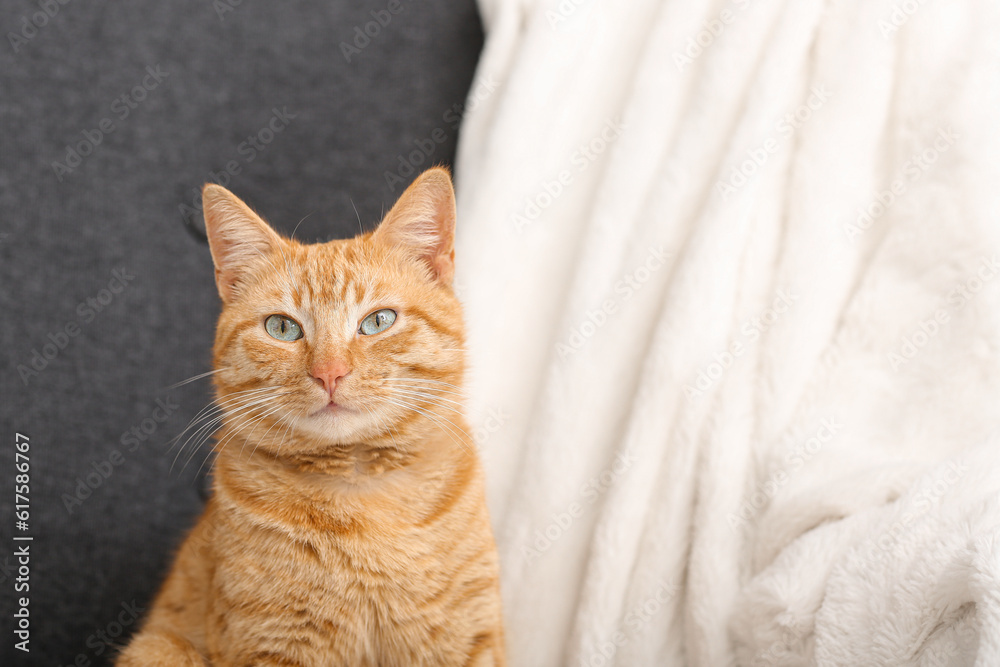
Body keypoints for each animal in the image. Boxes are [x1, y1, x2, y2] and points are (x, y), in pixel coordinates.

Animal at [118, 170, 508, 664]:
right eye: (282, 327)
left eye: (378, 321)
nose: (329, 373)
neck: (359, 497)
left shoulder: (467, 636)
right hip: (158, 647)